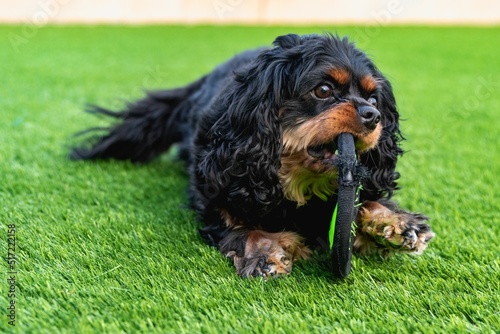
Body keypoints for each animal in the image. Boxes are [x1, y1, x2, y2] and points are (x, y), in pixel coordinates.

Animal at [71, 32, 434, 278]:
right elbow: (240, 225)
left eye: (373, 99)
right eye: (324, 90)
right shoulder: (216, 192)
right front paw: (266, 253)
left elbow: (368, 200)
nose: (373, 116)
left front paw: (398, 223)